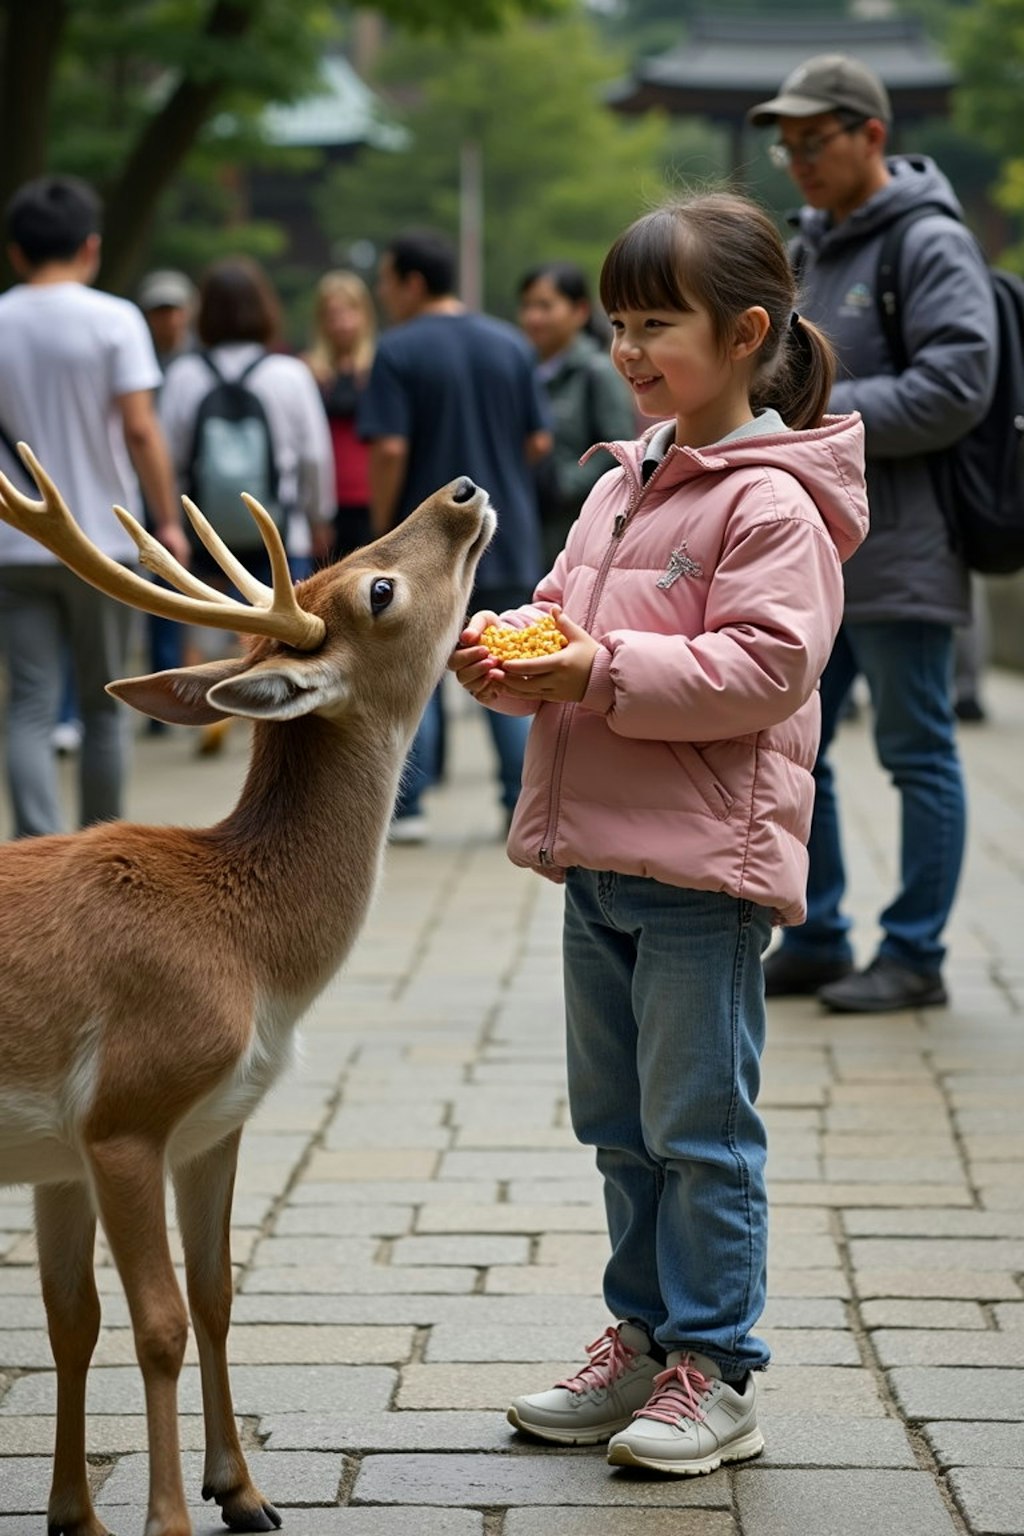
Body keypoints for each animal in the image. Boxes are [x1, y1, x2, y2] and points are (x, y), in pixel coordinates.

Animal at [0, 445, 497, 1536]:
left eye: (340, 567)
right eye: (378, 589)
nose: (462, 490)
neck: (253, 957)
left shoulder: (186, 1128)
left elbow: (157, 1305)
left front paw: (217, 1497)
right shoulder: (125, 1109)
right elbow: (156, 1324)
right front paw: (167, 1518)